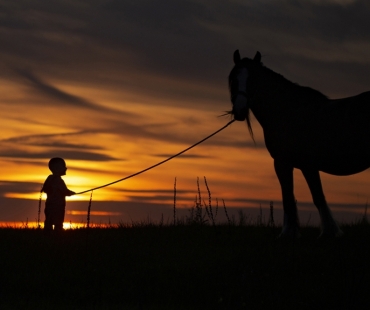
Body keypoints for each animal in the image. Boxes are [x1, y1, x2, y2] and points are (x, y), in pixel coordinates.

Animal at [227, 50, 370, 237]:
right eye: (233, 79)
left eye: (254, 79)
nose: (240, 110)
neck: (288, 111)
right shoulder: (304, 166)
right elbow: (309, 196)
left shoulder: (286, 163)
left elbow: (297, 197)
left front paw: (290, 232)